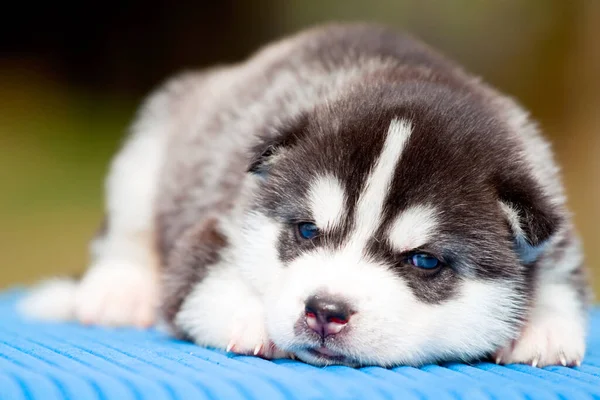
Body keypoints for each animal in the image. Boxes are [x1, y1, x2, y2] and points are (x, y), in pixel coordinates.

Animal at [19, 23, 592, 368]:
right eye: (308, 230)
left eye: (425, 261)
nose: (325, 310)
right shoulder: (218, 224)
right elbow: (201, 278)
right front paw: (249, 315)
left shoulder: (555, 220)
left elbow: (562, 281)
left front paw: (544, 327)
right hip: (148, 149)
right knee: (128, 230)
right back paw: (120, 290)